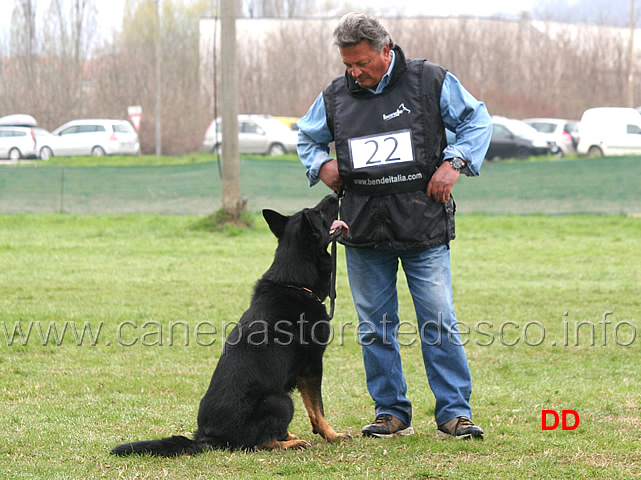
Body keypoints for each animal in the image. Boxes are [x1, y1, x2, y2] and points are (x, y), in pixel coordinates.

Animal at [110, 193, 350, 456]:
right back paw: (290, 443)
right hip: (281, 400)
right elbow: (318, 409)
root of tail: (207, 437)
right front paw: (332, 435)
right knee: (260, 443)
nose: (335, 194)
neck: (294, 281)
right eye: (318, 212)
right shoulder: (312, 365)